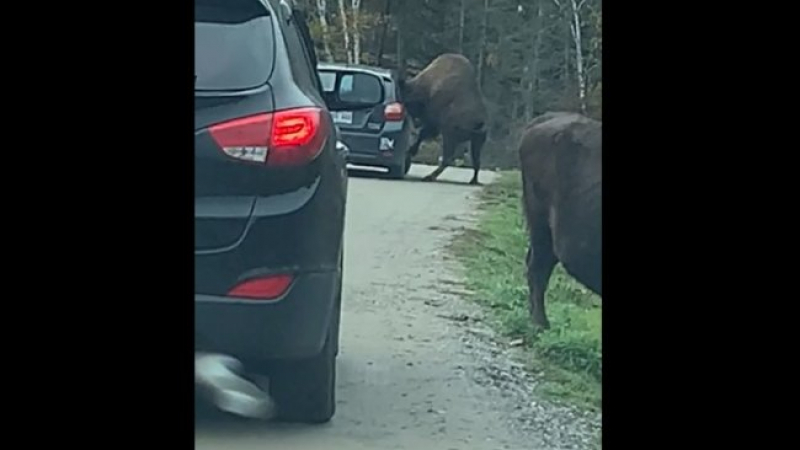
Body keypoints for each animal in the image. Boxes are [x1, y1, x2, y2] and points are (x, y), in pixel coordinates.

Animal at [400, 53, 488, 185]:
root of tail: (480, 122)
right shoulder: (434, 125)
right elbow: (422, 134)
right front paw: (411, 150)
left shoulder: (434, 122)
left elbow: (423, 133)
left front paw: (411, 150)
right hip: (477, 141)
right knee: (476, 161)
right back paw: (473, 181)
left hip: (450, 135)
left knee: (448, 158)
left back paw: (429, 177)